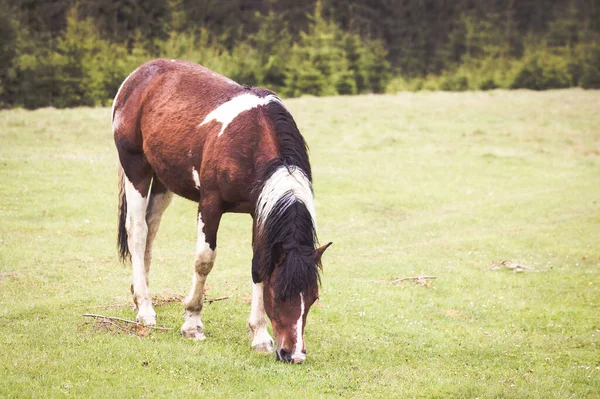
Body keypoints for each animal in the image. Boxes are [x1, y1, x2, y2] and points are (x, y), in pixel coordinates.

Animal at [112, 59, 332, 366]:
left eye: (312, 298)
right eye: (280, 295)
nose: (294, 354)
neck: (251, 140)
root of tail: (140, 74)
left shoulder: (259, 212)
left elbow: (258, 265)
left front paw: (260, 336)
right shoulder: (210, 205)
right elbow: (204, 261)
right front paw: (192, 323)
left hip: (163, 179)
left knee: (151, 228)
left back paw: (138, 294)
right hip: (137, 169)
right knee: (137, 231)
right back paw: (145, 309)